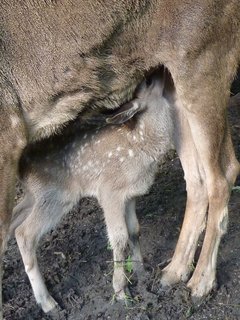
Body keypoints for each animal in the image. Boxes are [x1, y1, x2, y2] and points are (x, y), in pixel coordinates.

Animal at [0, 1, 239, 318]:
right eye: (146, 81)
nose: (153, 71)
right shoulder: (112, 192)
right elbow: (124, 235)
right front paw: (126, 284)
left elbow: (128, 234)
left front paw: (130, 281)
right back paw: (176, 273)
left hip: (203, 56)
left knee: (220, 175)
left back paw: (197, 282)